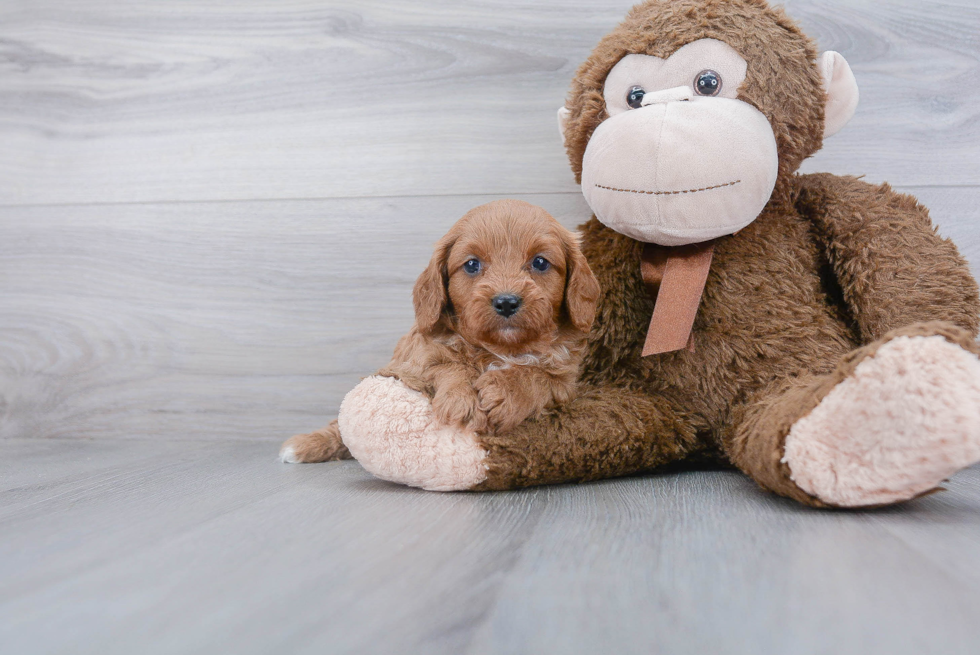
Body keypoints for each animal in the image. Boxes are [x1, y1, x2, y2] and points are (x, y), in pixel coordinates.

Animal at [276, 200, 596, 466]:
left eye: (540, 262)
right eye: (472, 264)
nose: (506, 301)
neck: (501, 349)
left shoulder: (565, 380)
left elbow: (539, 377)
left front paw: (507, 391)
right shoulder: (415, 361)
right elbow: (449, 364)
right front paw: (463, 399)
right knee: (338, 427)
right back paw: (305, 445)